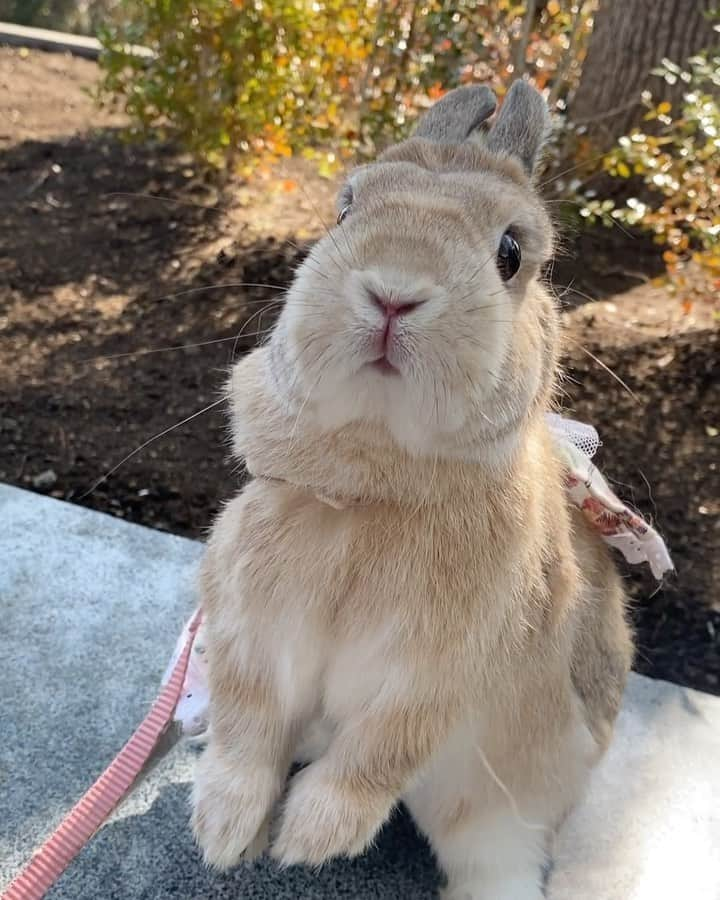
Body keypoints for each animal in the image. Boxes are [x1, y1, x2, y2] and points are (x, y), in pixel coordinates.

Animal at [190, 81, 632, 896]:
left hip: (496, 813)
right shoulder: (250, 625)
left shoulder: (438, 675)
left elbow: (378, 751)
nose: (393, 293)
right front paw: (224, 831)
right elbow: (247, 724)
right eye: (344, 209)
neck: (373, 496)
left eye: (511, 253)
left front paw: (311, 838)